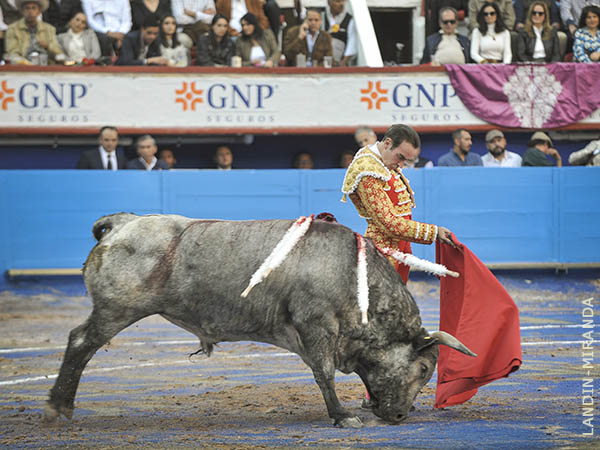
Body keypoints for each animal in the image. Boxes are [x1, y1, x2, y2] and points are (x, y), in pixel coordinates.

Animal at [44, 213, 474, 428]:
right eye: (424, 368)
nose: (401, 415)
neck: (352, 274)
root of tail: (122, 223)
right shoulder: (317, 326)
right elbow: (324, 373)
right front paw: (342, 416)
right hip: (117, 309)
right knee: (80, 343)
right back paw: (58, 407)